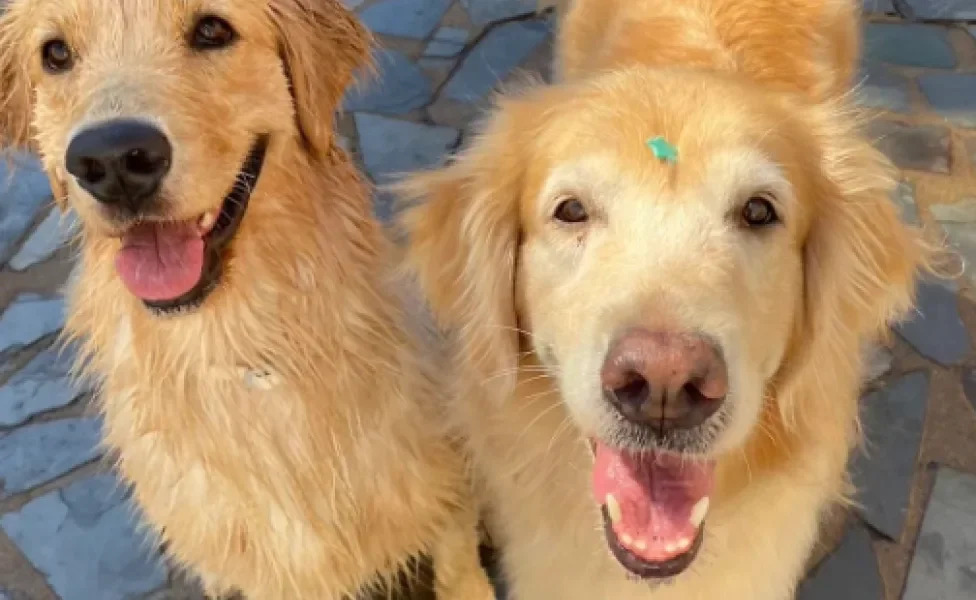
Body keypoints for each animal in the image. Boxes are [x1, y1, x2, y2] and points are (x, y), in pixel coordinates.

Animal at [0, 1, 496, 600]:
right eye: (55, 54)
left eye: (213, 29)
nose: (113, 160)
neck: (242, 348)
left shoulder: (443, 491)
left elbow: (459, 568)